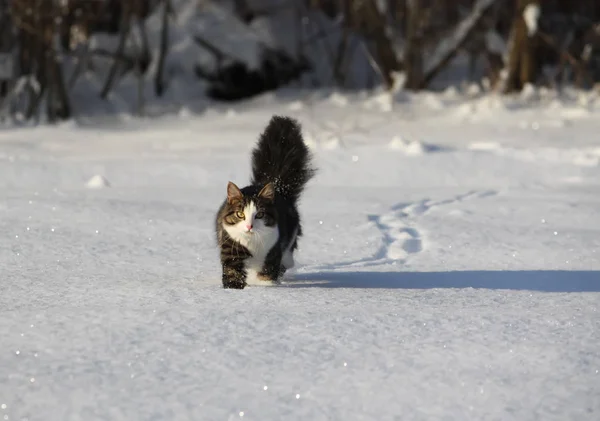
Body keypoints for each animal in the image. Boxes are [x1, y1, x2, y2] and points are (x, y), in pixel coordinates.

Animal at [214, 115, 316, 288]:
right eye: (240, 214)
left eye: (260, 214)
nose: (249, 226)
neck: (252, 244)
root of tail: (277, 187)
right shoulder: (230, 246)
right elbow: (232, 273)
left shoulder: (274, 250)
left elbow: (268, 275)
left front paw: (265, 287)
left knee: (287, 261)